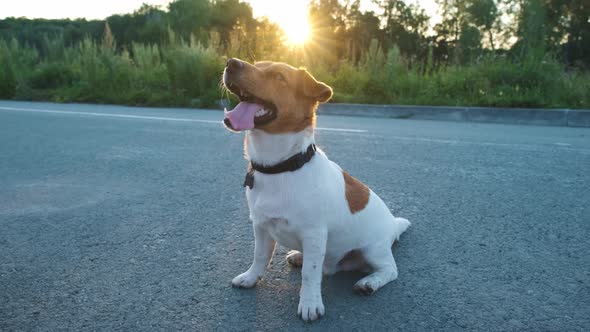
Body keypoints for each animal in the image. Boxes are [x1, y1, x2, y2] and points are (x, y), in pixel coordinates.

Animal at [222, 58, 412, 320]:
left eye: (279, 76)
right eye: (257, 63)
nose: (231, 62)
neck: (281, 168)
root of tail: (393, 225)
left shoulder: (314, 234)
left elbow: (310, 274)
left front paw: (310, 303)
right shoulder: (260, 226)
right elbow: (260, 256)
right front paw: (251, 278)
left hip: (373, 250)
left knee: (390, 270)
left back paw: (369, 282)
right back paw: (298, 256)